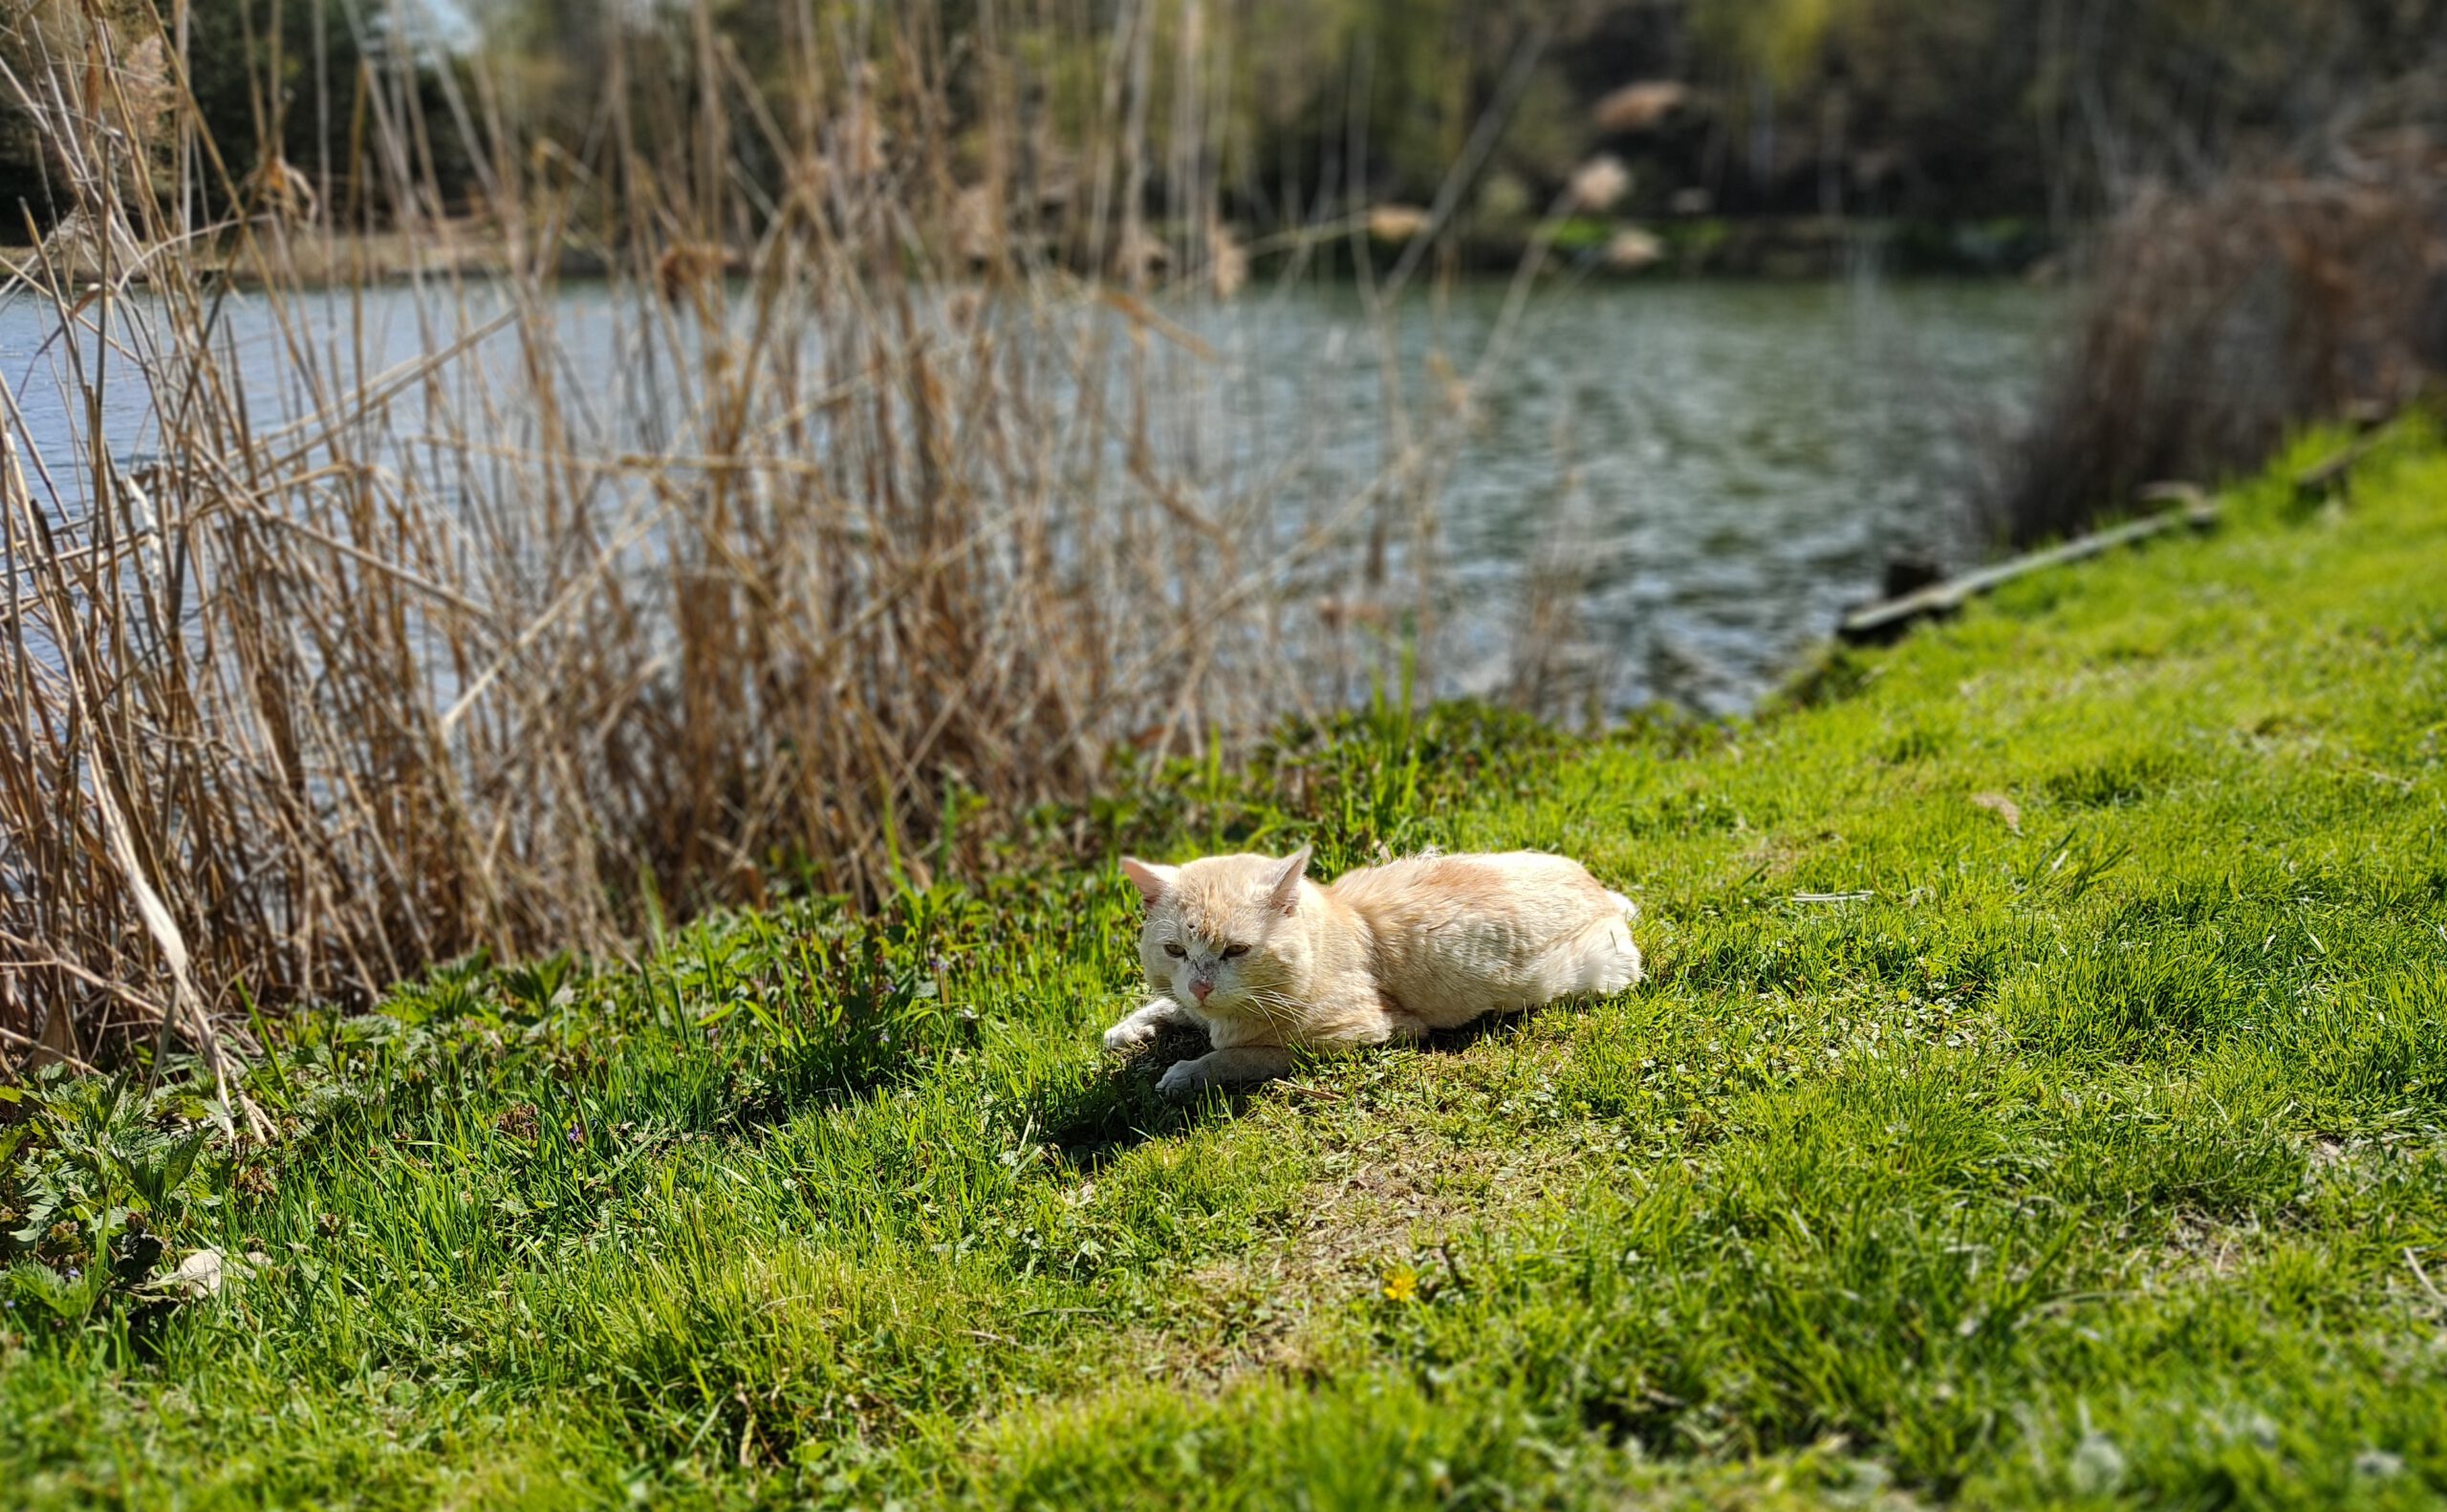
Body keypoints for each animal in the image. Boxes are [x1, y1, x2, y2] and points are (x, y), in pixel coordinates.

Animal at [1106, 841, 1644, 1091]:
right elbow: (1168, 1005)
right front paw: (1129, 1028)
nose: (1201, 986)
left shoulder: (1358, 1034)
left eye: (1236, 951)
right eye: (1176, 951)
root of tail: (1602, 890)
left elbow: (1244, 1055)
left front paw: (1186, 1072)